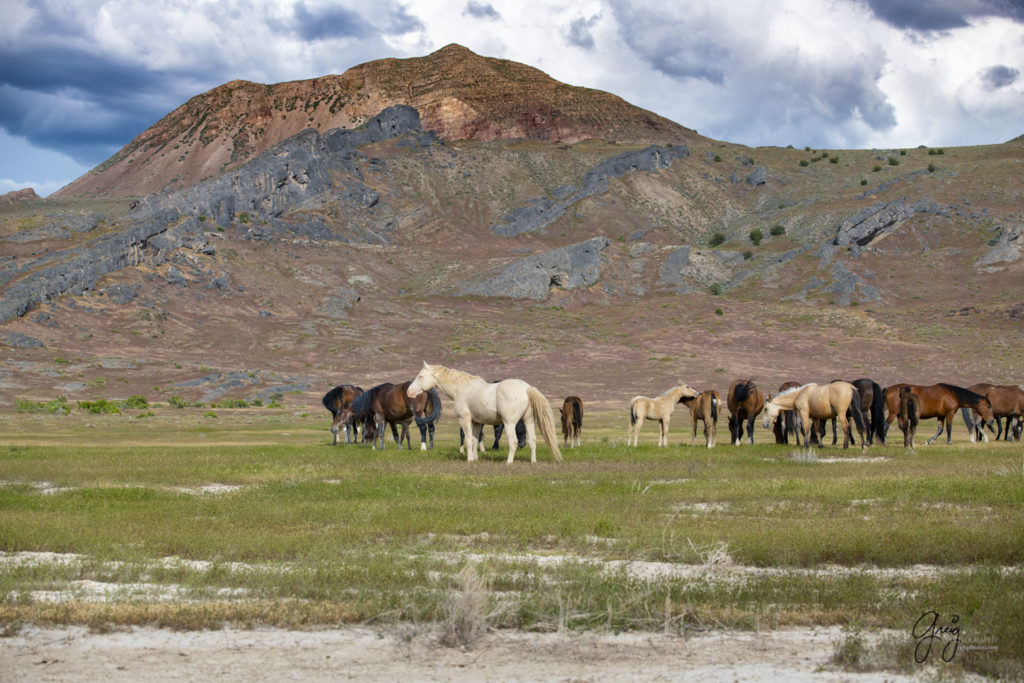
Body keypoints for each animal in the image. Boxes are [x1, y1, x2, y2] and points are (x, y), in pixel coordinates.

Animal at [405, 358, 565, 464]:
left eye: (420, 376)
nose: (409, 392)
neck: (461, 388)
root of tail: (527, 388)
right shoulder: (476, 422)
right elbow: (475, 440)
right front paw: (475, 459)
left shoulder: (465, 420)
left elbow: (468, 440)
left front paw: (469, 460)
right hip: (528, 421)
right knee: (532, 441)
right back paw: (533, 461)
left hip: (509, 423)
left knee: (513, 441)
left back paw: (509, 462)